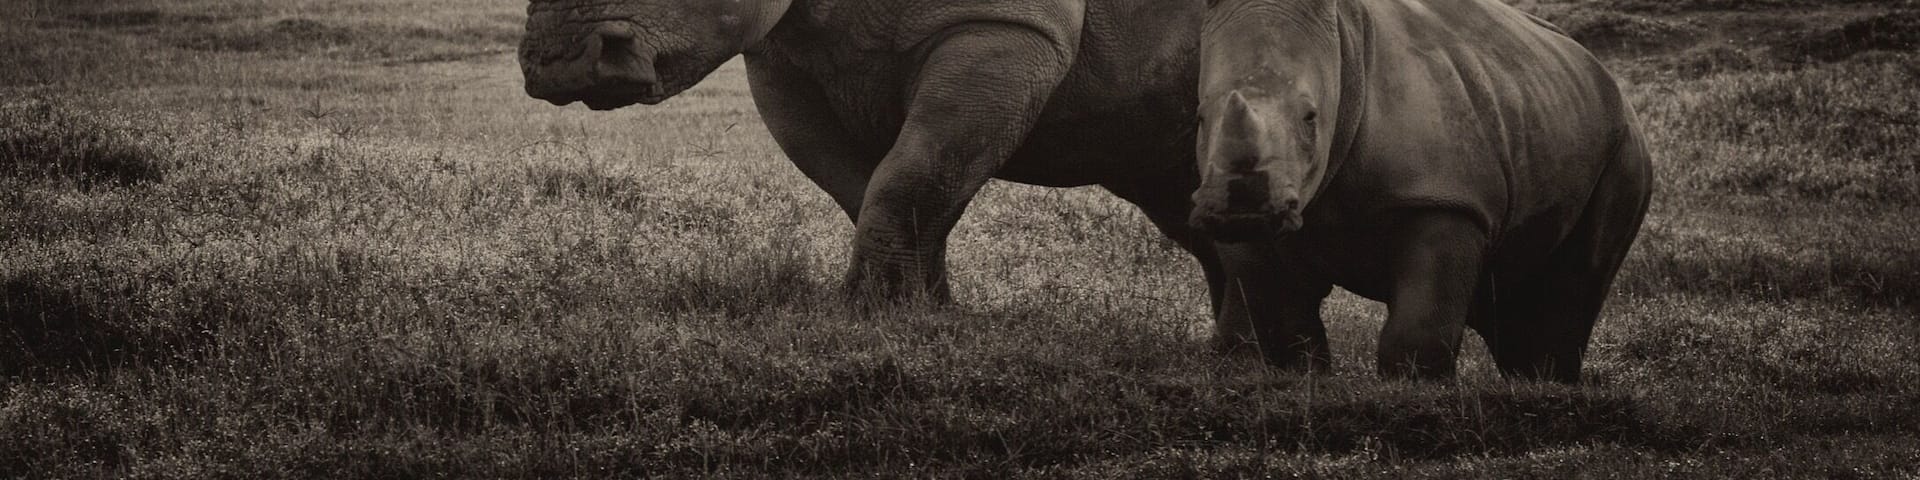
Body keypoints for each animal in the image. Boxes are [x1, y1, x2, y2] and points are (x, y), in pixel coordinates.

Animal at [519, 0, 1271, 347]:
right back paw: (1239, 355)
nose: (560, 65)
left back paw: (1245, 360)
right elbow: (878, 187)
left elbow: (915, 173)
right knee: (1181, 193)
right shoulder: (781, 55)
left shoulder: (1004, 28)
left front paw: (869, 315)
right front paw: (919, 310)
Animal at [1191, 0, 1653, 381]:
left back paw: (1547, 384)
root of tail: (1601, 70)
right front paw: (1299, 378)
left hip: (1625, 147)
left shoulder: (1445, 199)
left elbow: (1418, 326)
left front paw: (1416, 386)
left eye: (1310, 117)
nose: (1242, 210)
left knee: (1574, 284)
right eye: (1199, 117)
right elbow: (1281, 318)